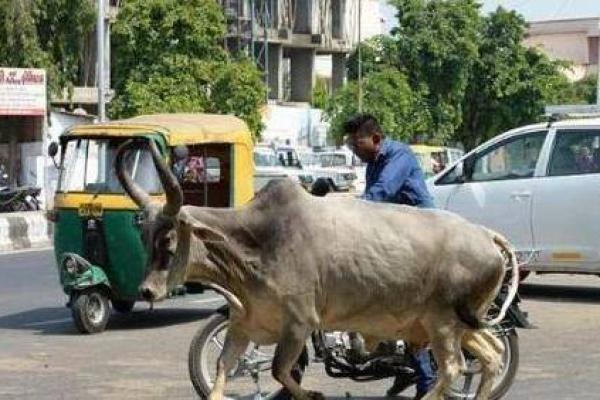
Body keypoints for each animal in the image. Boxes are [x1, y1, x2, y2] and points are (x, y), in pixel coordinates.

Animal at [117, 139, 520, 398]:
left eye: (169, 241)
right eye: (144, 236)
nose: (147, 291)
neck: (257, 243)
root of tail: (486, 235)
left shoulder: (300, 323)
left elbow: (280, 370)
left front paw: (313, 394)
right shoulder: (242, 326)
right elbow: (221, 370)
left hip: (443, 325)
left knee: (452, 368)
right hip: (459, 325)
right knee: (491, 356)